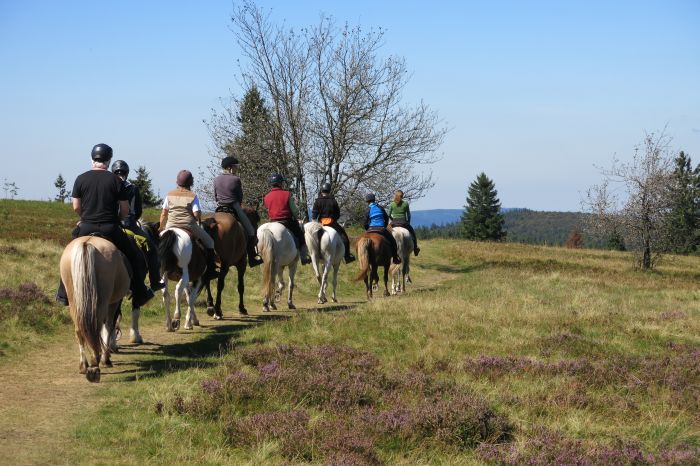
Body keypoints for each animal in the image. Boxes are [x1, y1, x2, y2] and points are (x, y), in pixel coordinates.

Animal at [59, 237, 131, 382]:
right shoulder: (113, 303)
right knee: (99, 326)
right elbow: (108, 327)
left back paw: (84, 365)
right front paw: (106, 357)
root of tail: (86, 243)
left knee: (79, 330)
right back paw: (95, 365)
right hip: (103, 299)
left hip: (74, 299)